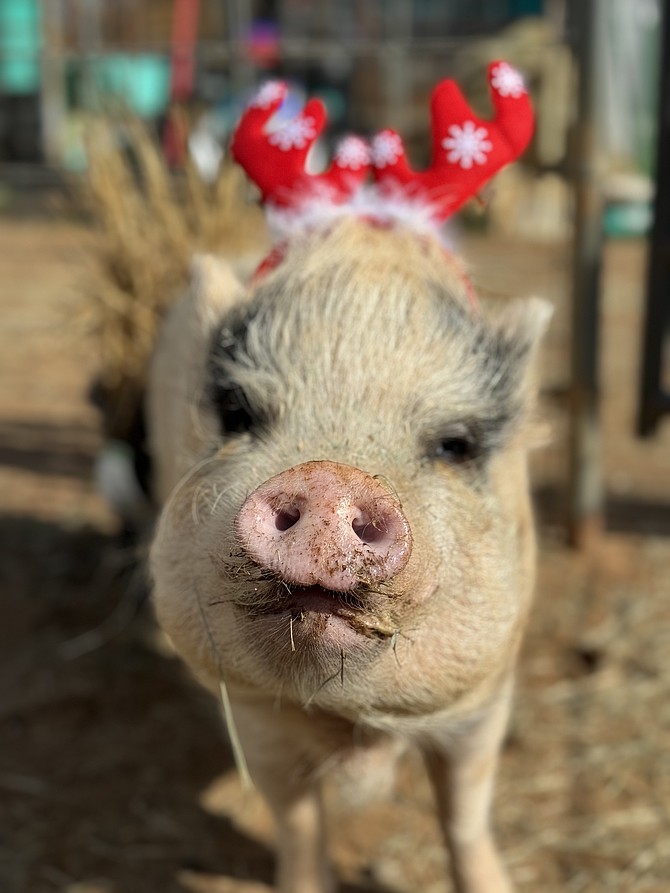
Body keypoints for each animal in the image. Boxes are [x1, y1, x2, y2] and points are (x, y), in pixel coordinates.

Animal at [147, 213, 550, 893]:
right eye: (236, 412)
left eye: (456, 444)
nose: (328, 476)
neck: (348, 719)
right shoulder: (254, 714)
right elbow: (298, 824)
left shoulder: (484, 700)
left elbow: (464, 814)